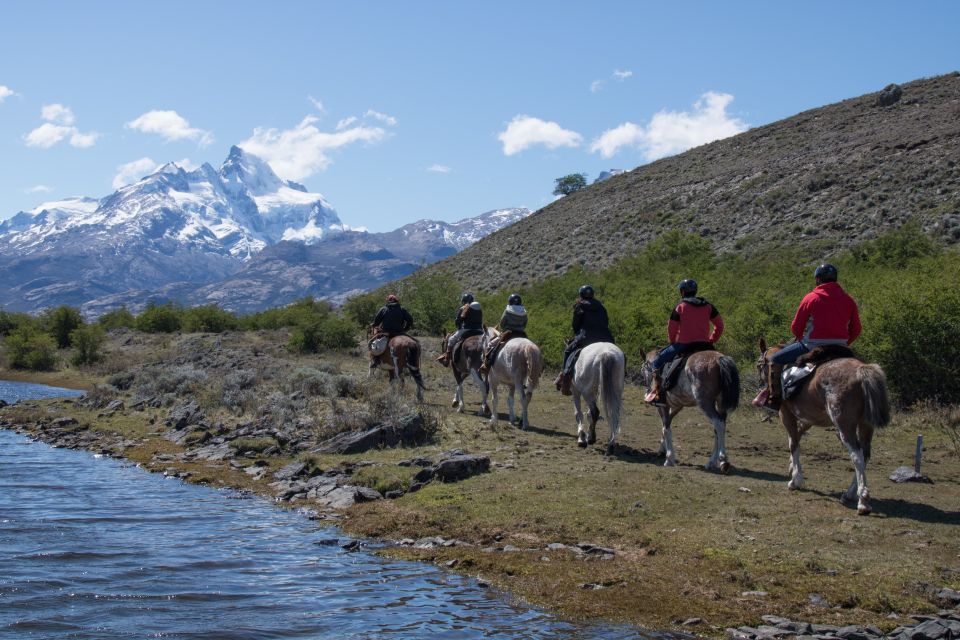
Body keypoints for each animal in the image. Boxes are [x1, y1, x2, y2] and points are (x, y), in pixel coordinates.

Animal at [752, 340, 892, 516]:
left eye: (759, 365)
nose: (760, 384)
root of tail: (861, 370)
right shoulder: (809, 419)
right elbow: (797, 437)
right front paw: (792, 467)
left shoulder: (786, 414)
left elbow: (793, 443)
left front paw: (796, 480)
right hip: (865, 425)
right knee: (865, 455)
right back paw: (850, 493)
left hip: (844, 427)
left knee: (857, 456)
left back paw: (863, 501)